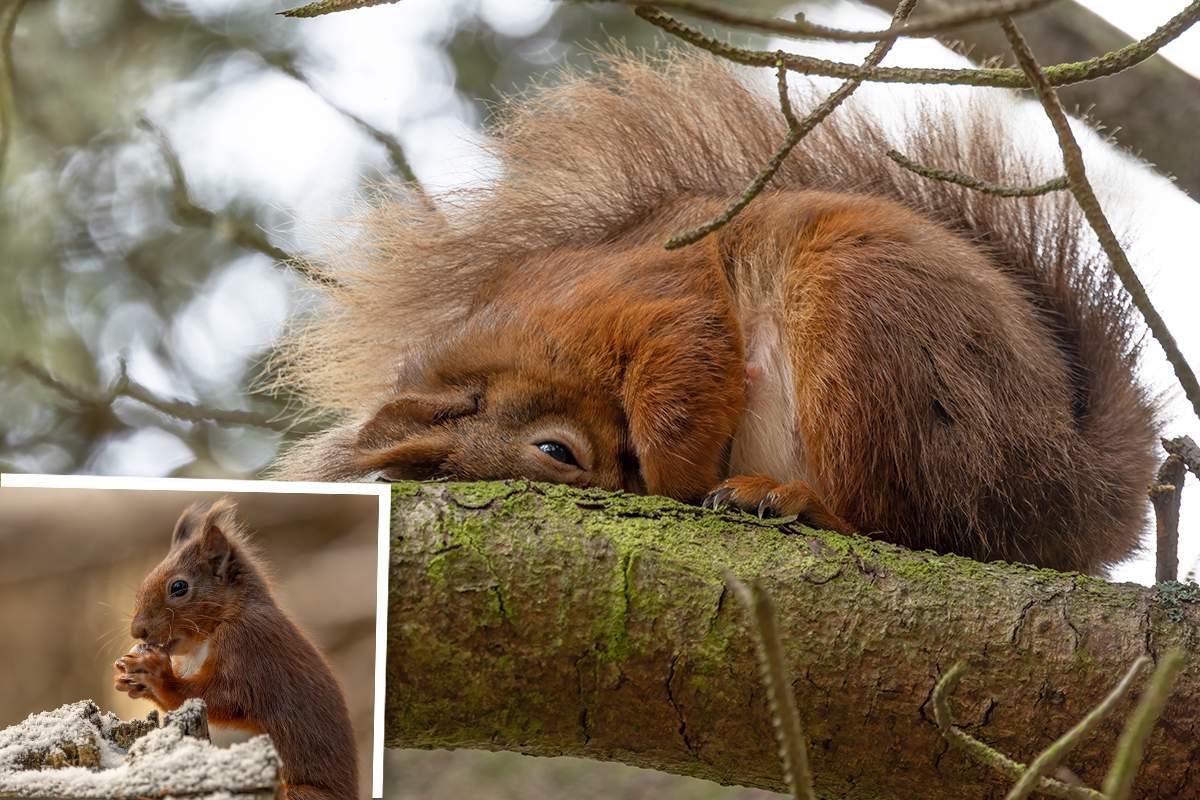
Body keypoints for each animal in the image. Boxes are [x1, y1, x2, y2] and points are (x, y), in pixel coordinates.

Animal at [114, 501, 357, 800]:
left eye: (179, 587)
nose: (138, 631)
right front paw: (130, 680)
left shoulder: (249, 646)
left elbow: (225, 697)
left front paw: (157, 677)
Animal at [267, 51, 1156, 575]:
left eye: (557, 451)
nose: (621, 484)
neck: (508, 345)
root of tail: (1074, 484)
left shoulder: (640, 298)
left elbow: (685, 379)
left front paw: (675, 482)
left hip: (874, 330)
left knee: (905, 523)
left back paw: (792, 501)